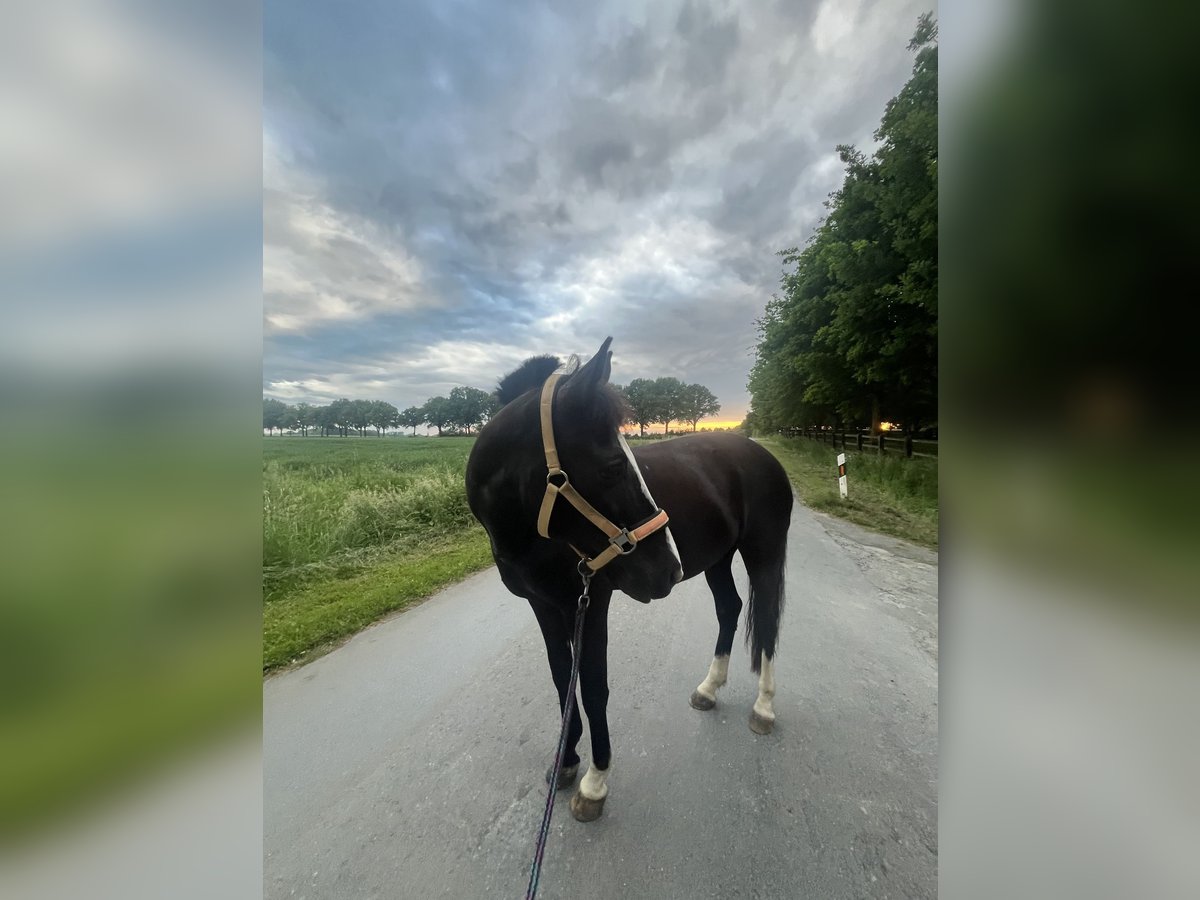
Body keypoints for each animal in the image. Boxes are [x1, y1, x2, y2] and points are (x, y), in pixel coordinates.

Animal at [463, 338, 792, 825]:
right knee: (729, 609)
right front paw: (565, 762)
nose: (669, 568)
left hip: (763, 553)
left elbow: (593, 688)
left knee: (766, 621)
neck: (533, 537)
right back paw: (708, 688)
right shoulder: (543, 606)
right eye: (613, 466)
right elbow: (562, 681)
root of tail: (761, 455)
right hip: (718, 559)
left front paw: (595, 782)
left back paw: (764, 707)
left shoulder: (591, 603)